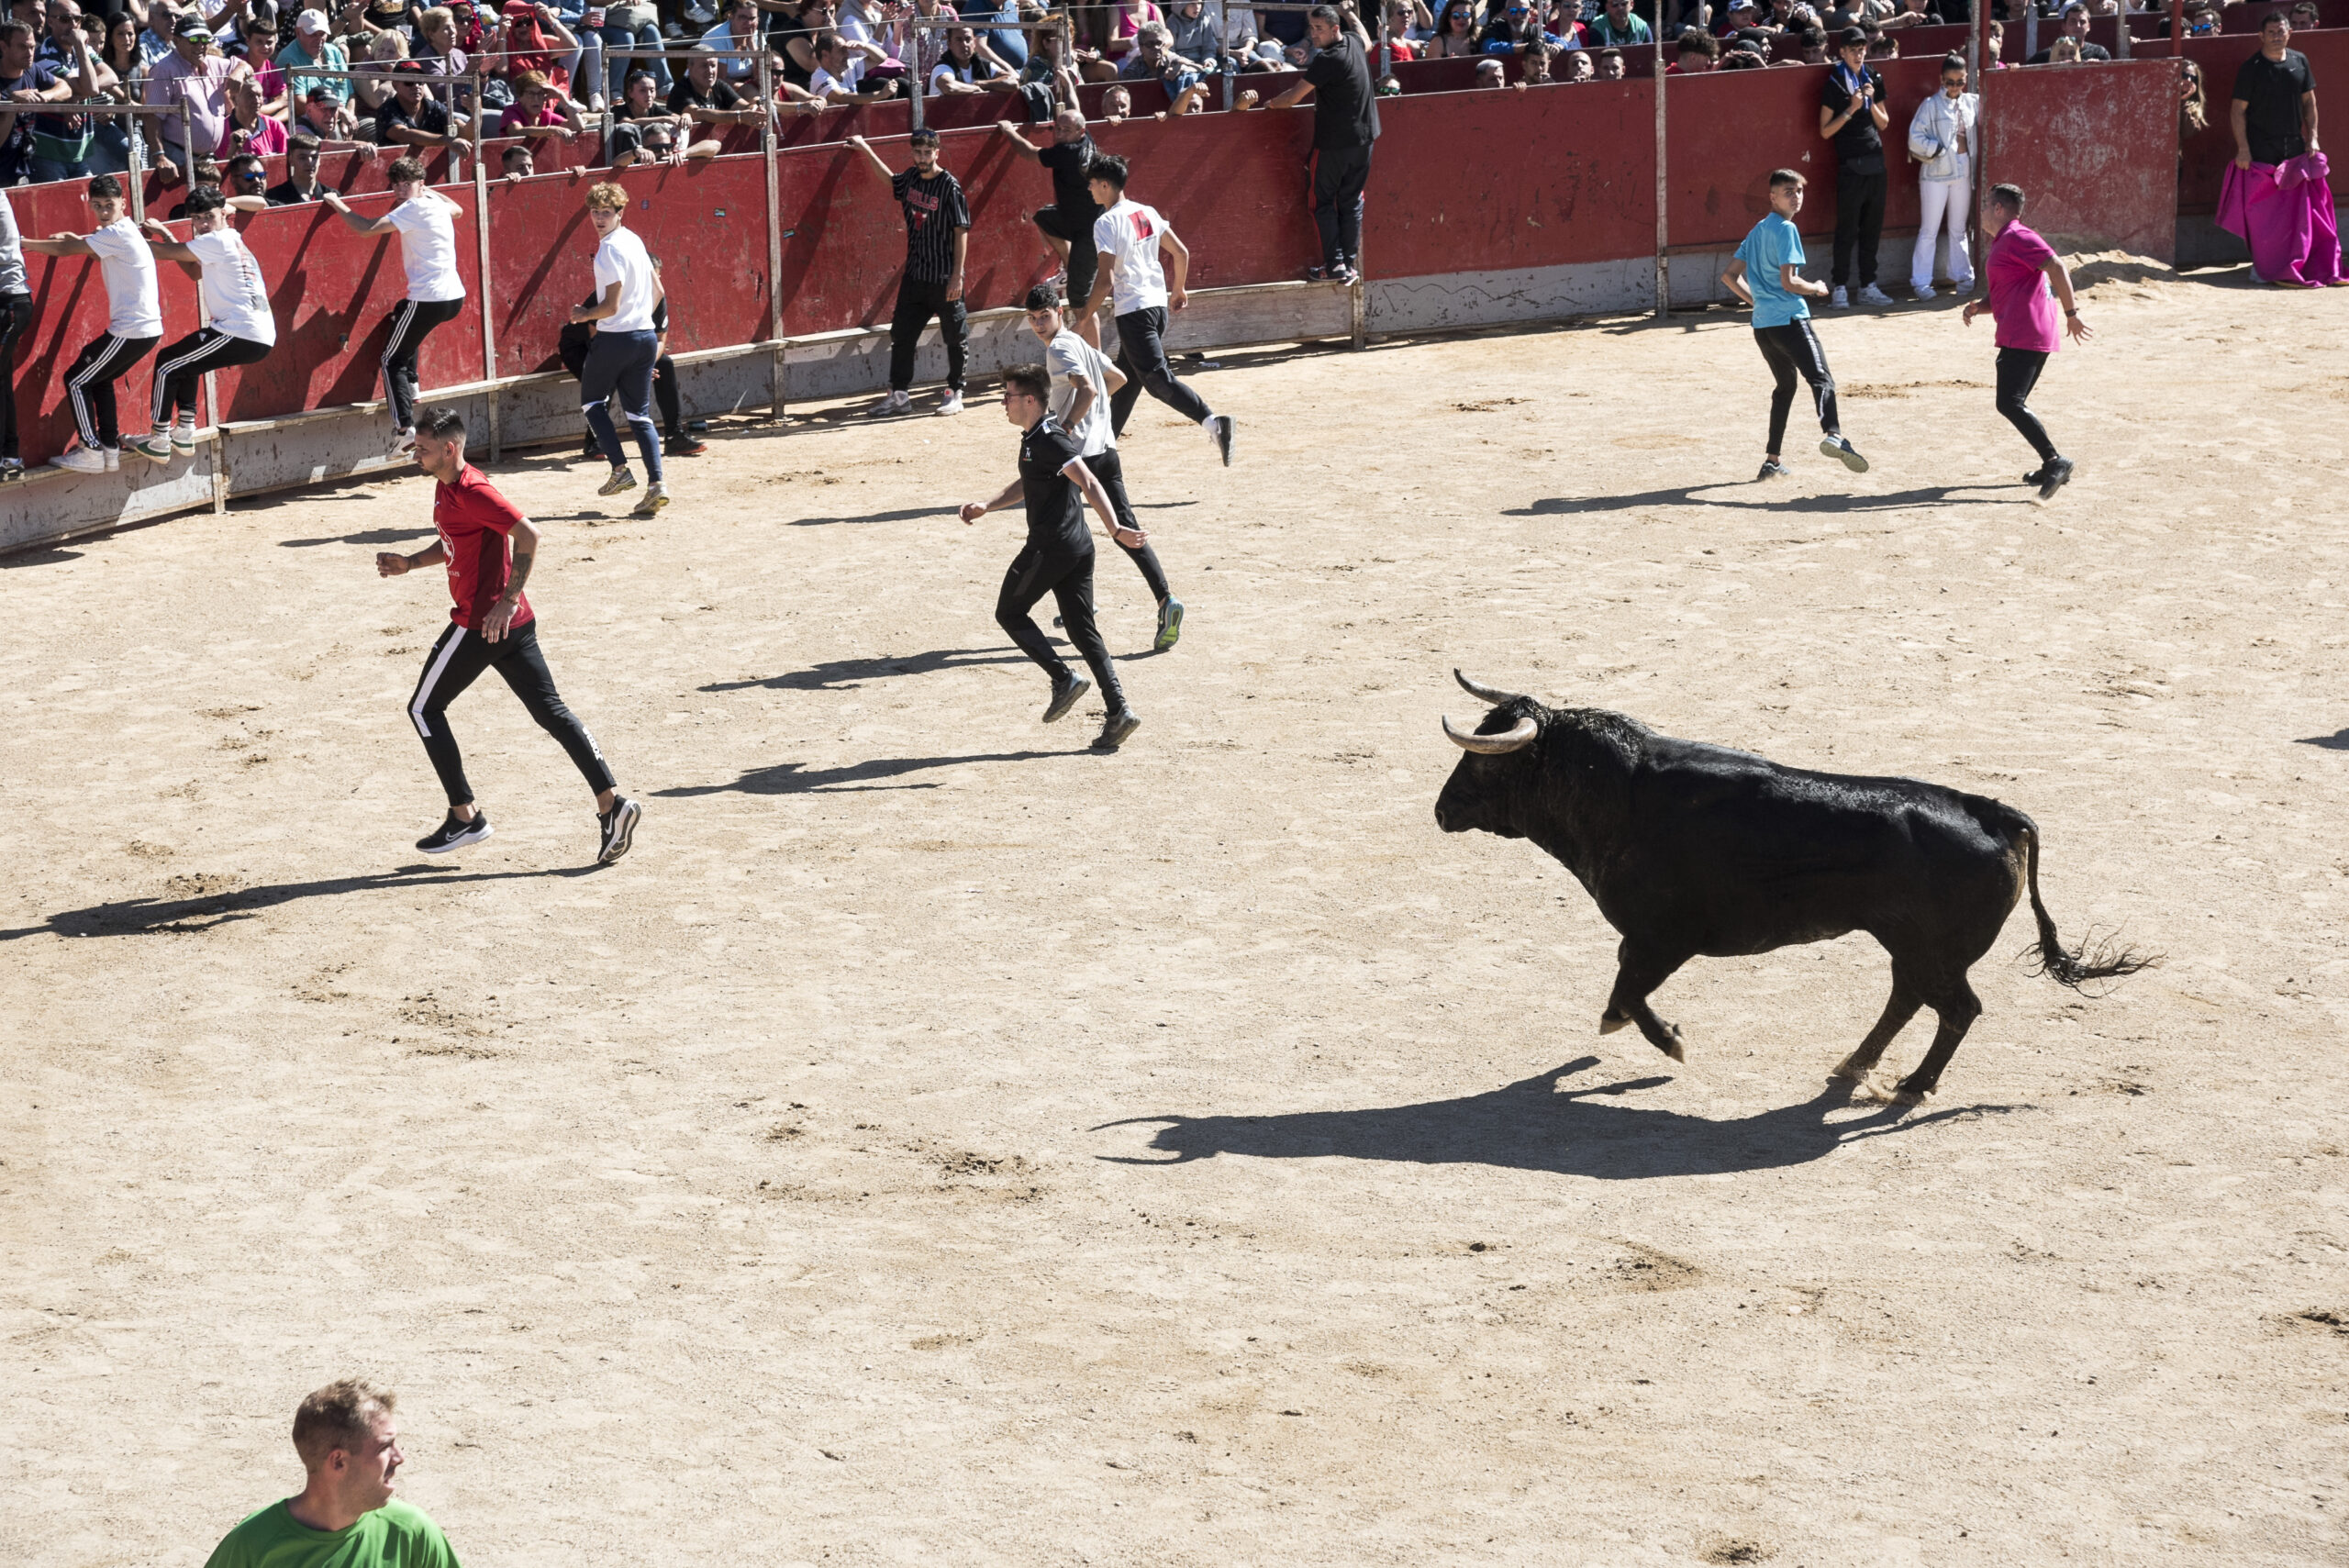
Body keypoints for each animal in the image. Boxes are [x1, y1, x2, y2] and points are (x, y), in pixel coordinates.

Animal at [1428, 671, 2151, 1103]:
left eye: (1482, 762)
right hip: (1911, 946)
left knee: (1955, 1009)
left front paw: (1669, 1042)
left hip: (1935, 952)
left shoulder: (1661, 937)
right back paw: (1854, 1067)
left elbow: (1629, 993)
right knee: (1909, 998)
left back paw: (1912, 1085)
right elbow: (1625, 989)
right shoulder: (1651, 940)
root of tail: (1993, 810)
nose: (1441, 809)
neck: (1616, 795)